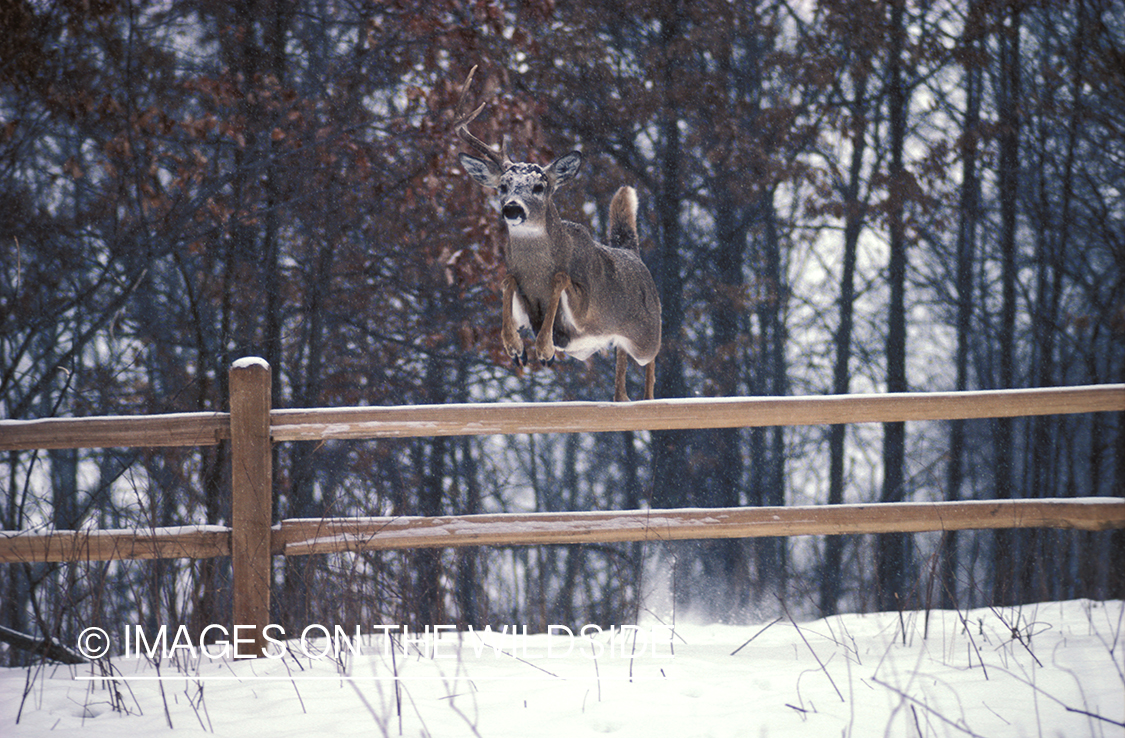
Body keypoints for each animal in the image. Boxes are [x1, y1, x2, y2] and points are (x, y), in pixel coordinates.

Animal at [452, 68, 657, 400]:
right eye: (502, 186)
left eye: (539, 186)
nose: (512, 209)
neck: (537, 273)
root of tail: (633, 254)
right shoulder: (524, 299)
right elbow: (508, 280)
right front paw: (516, 349)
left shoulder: (587, 310)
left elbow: (561, 278)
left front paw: (545, 349)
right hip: (621, 344)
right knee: (621, 371)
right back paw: (621, 397)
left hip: (646, 336)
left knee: (651, 359)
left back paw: (649, 397)